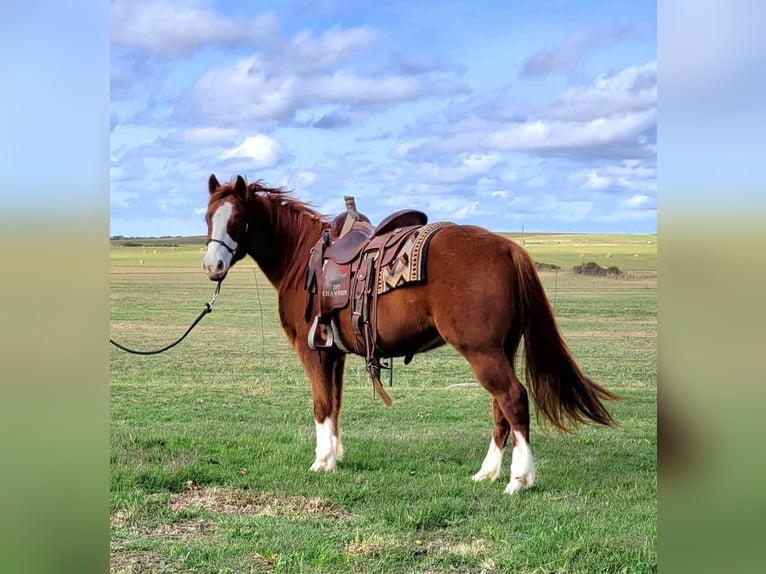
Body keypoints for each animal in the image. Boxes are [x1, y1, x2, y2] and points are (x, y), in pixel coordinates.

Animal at [202, 174, 616, 496]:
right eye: (207, 217)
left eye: (238, 218)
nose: (212, 265)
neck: (303, 258)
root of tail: (508, 247)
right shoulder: (334, 353)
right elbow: (335, 404)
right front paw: (335, 456)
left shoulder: (314, 351)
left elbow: (321, 405)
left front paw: (321, 462)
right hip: (503, 349)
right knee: (501, 408)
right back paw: (488, 472)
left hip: (482, 351)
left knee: (513, 400)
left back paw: (519, 479)